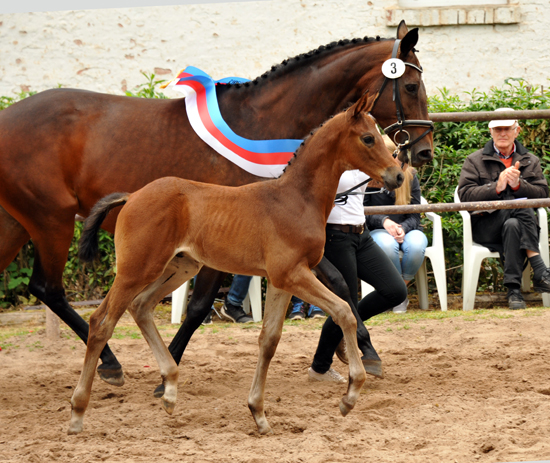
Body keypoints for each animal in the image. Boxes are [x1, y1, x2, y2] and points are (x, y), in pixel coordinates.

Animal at [69, 92, 406, 436]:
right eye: (368, 138)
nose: (397, 175)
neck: (297, 199)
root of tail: (132, 196)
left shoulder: (284, 281)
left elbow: (269, 339)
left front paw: (258, 412)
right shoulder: (293, 274)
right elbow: (344, 312)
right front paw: (350, 395)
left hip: (178, 268)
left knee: (140, 307)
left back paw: (170, 390)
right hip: (135, 270)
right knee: (101, 323)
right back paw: (78, 412)